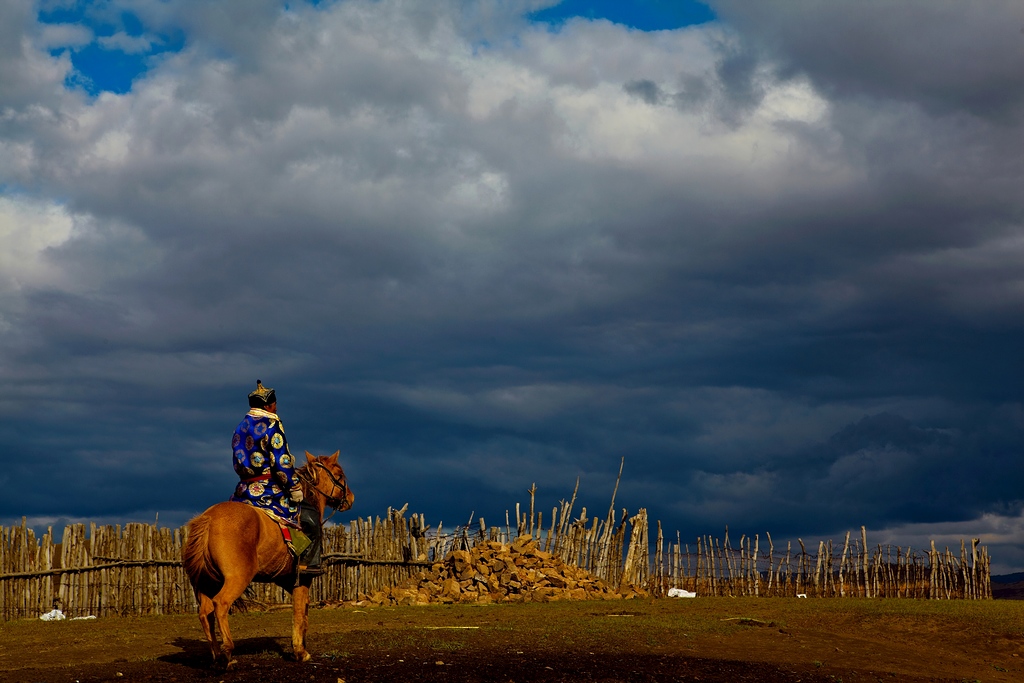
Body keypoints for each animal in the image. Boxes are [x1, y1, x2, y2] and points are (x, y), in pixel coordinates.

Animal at [178, 450, 350, 671]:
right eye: (340, 475)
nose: (350, 498)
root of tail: (208, 519)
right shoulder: (303, 580)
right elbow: (299, 614)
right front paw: (300, 652)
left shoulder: (289, 581)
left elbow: (303, 613)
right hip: (236, 578)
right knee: (221, 604)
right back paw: (227, 653)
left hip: (205, 582)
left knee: (205, 613)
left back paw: (217, 656)